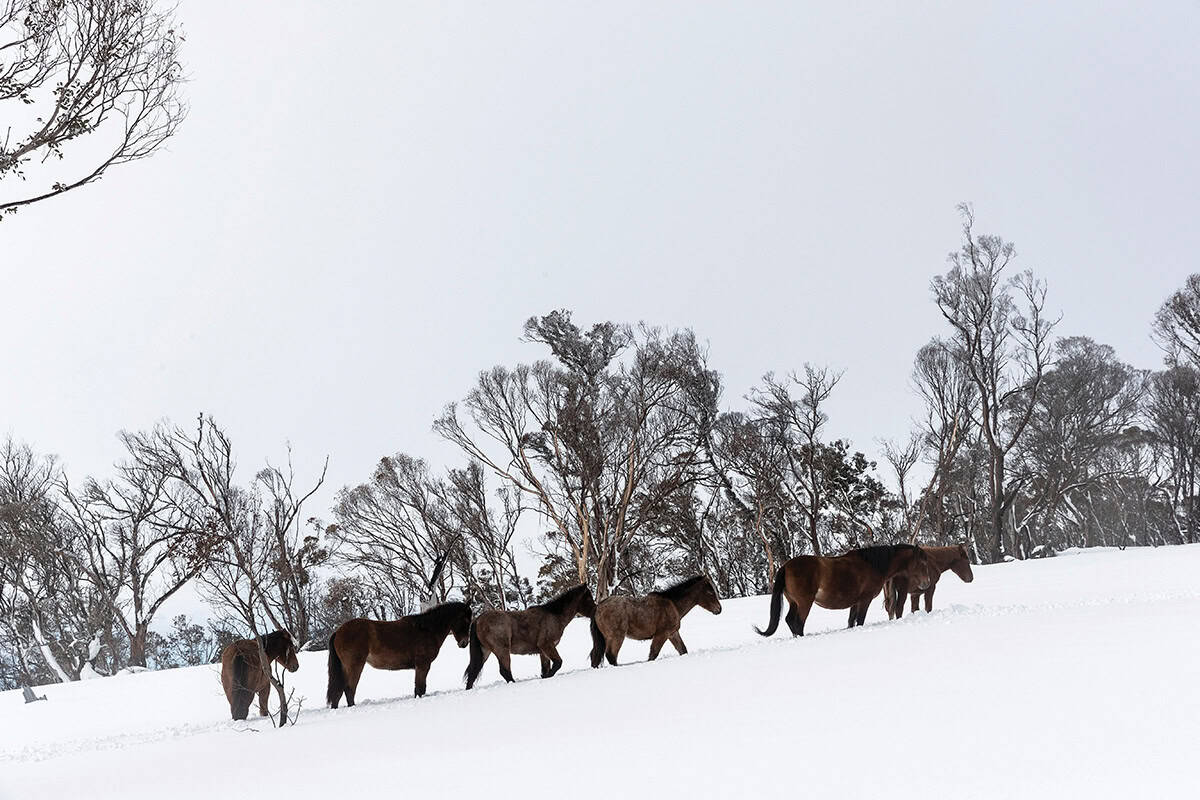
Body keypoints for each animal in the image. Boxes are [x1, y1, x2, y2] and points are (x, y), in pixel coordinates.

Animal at [326, 601, 472, 708]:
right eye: (465, 620)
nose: (464, 643)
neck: (426, 630)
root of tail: (338, 632)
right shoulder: (423, 665)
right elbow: (419, 688)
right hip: (355, 665)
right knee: (349, 689)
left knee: (338, 691)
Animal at [464, 584, 596, 688]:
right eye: (589, 598)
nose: (595, 610)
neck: (554, 616)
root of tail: (478, 620)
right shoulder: (547, 645)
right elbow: (558, 663)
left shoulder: (543, 651)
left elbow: (545, 669)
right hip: (502, 650)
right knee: (505, 671)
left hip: (485, 651)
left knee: (473, 672)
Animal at [589, 575, 722, 667]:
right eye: (710, 592)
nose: (719, 609)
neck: (672, 604)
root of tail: (598, 607)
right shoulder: (661, 635)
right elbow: (653, 654)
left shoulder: (673, 634)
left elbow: (682, 650)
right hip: (616, 637)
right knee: (611, 656)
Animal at [756, 544, 936, 636]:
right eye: (923, 562)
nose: (926, 583)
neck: (872, 565)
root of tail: (786, 566)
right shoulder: (864, 600)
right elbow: (860, 620)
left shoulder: (854, 603)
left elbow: (851, 622)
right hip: (804, 603)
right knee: (798, 623)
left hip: (794, 602)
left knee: (789, 621)